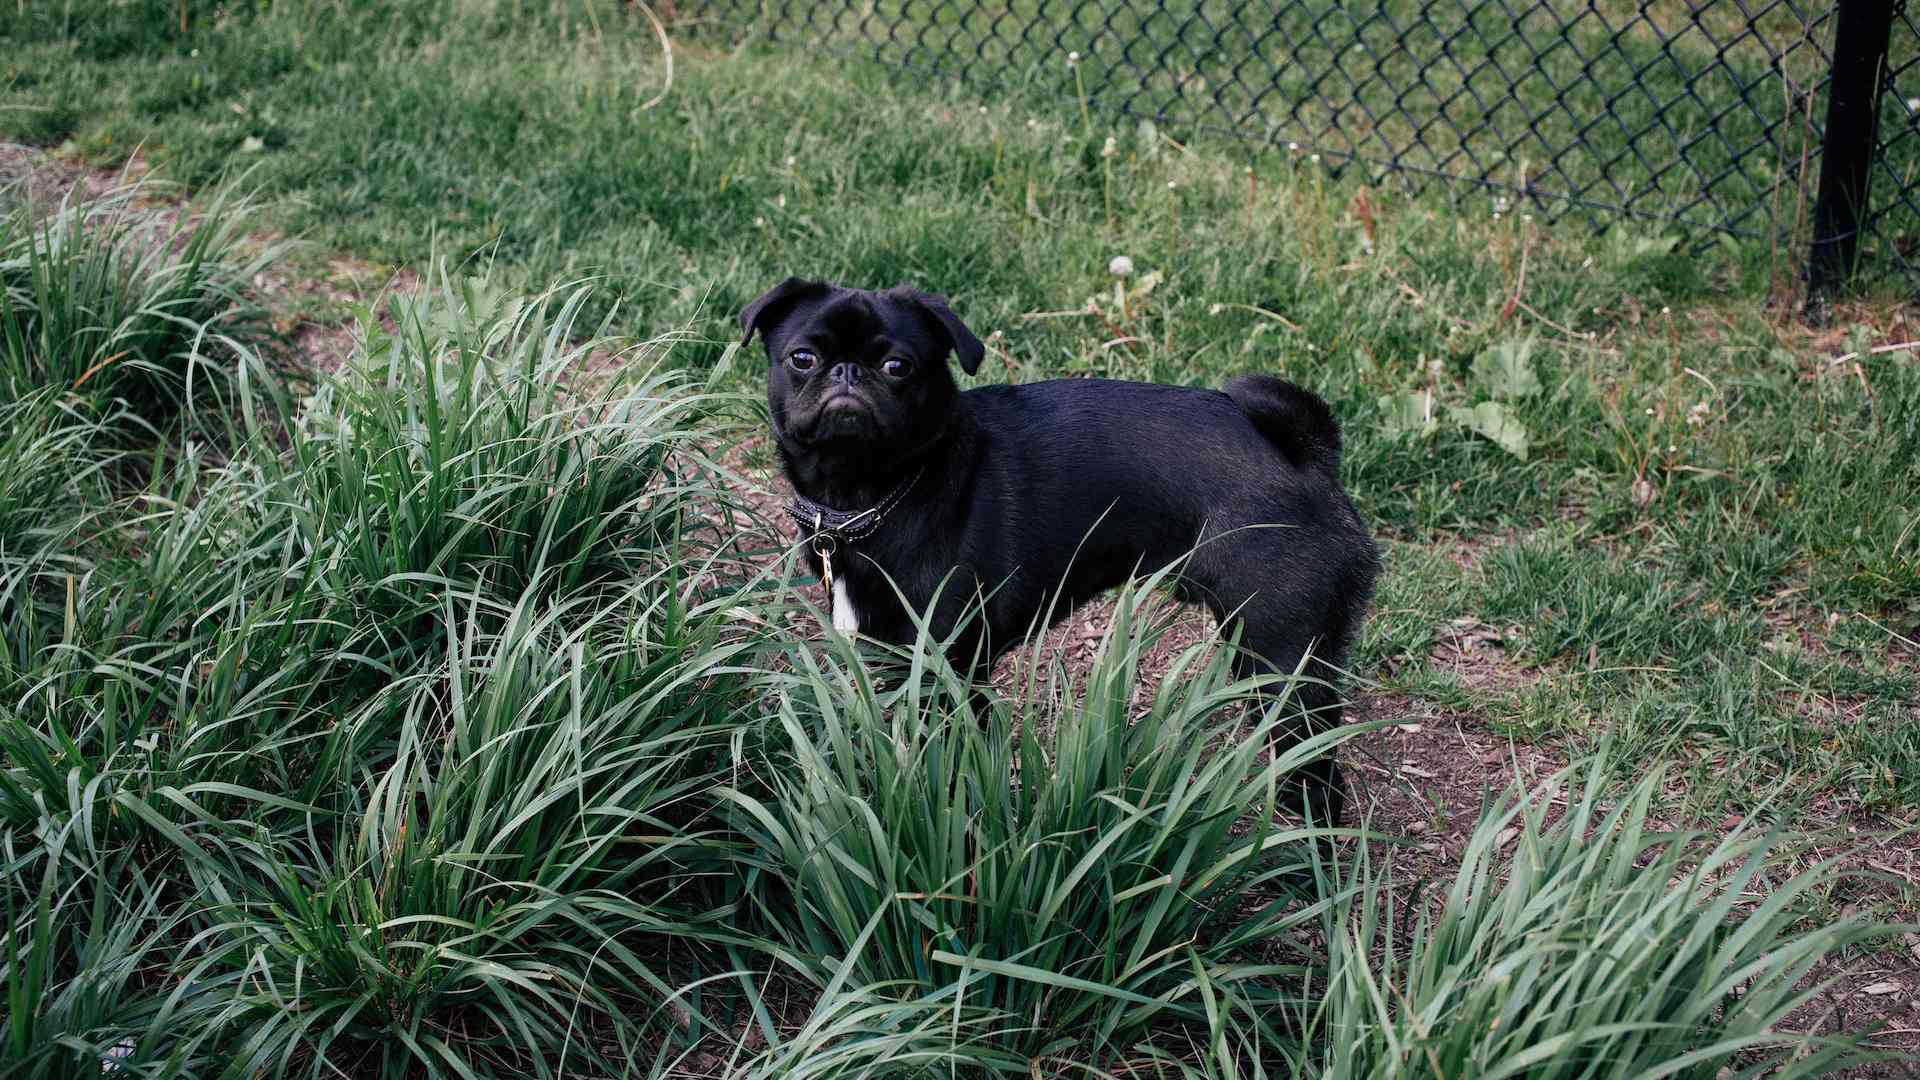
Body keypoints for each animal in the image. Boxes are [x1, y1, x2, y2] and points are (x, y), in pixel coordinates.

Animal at [737, 276, 1382, 814]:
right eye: (802, 358)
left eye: (899, 366)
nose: (847, 374)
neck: (869, 497)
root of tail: (1308, 459)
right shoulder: (895, 660)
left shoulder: (954, 669)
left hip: (1281, 662)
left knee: (1315, 768)